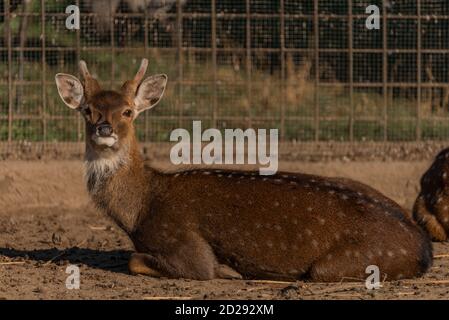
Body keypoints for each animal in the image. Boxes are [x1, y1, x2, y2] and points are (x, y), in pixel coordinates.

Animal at [54, 58, 432, 282]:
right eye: (87, 110)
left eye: (128, 111)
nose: (104, 129)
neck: (140, 209)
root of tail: (423, 247)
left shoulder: (186, 247)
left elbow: (142, 261)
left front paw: (228, 270)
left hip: (338, 265)